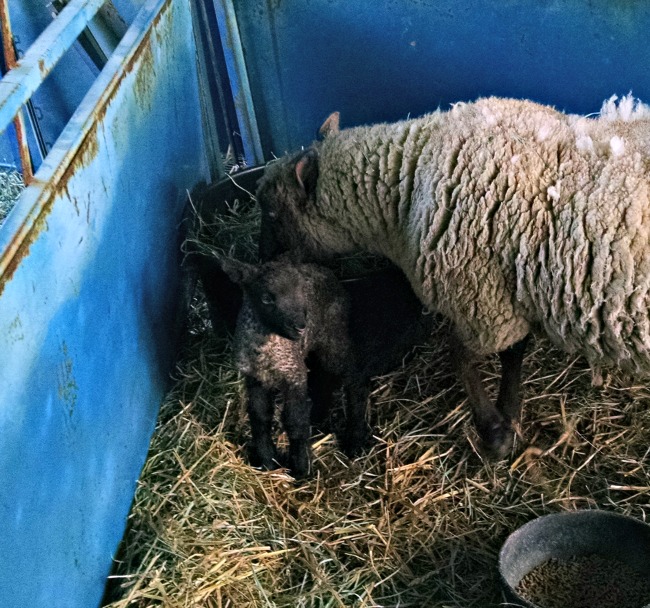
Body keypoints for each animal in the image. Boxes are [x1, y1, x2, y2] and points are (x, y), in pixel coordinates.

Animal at [195, 252, 433, 478]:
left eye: (300, 293)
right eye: (266, 299)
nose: (301, 326)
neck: (267, 350)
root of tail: (330, 274)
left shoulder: (294, 376)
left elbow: (295, 420)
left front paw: (301, 469)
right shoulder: (255, 379)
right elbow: (260, 417)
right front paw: (267, 462)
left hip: (334, 338)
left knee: (355, 377)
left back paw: (355, 441)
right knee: (326, 376)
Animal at [255, 94, 650, 458]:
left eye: (272, 213)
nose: (261, 262)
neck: (403, 196)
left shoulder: (480, 299)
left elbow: (460, 356)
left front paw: (494, 432)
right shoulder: (505, 293)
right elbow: (514, 352)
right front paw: (509, 414)